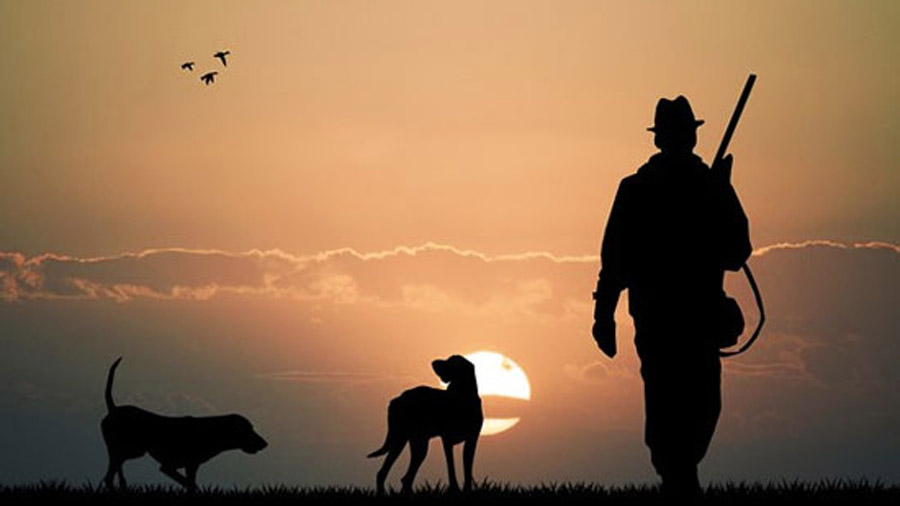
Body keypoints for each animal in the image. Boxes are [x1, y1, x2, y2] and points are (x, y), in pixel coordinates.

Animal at [100, 358, 268, 488]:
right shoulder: (168, 466)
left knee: (115, 469)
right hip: (133, 450)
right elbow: (190, 484)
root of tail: (113, 409)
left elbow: (190, 484)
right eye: (248, 429)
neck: (211, 430)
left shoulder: (191, 467)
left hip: (128, 451)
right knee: (109, 475)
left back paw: (123, 484)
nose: (265, 444)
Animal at [366, 356, 482, 494]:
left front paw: (467, 490)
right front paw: (455, 489)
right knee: (390, 474)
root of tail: (397, 399)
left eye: (451, 362)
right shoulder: (447, 441)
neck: (462, 397)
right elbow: (451, 467)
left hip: (410, 443)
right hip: (408, 442)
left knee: (400, 477)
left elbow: (468, 469)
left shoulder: (472, 441)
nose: (434, 363)